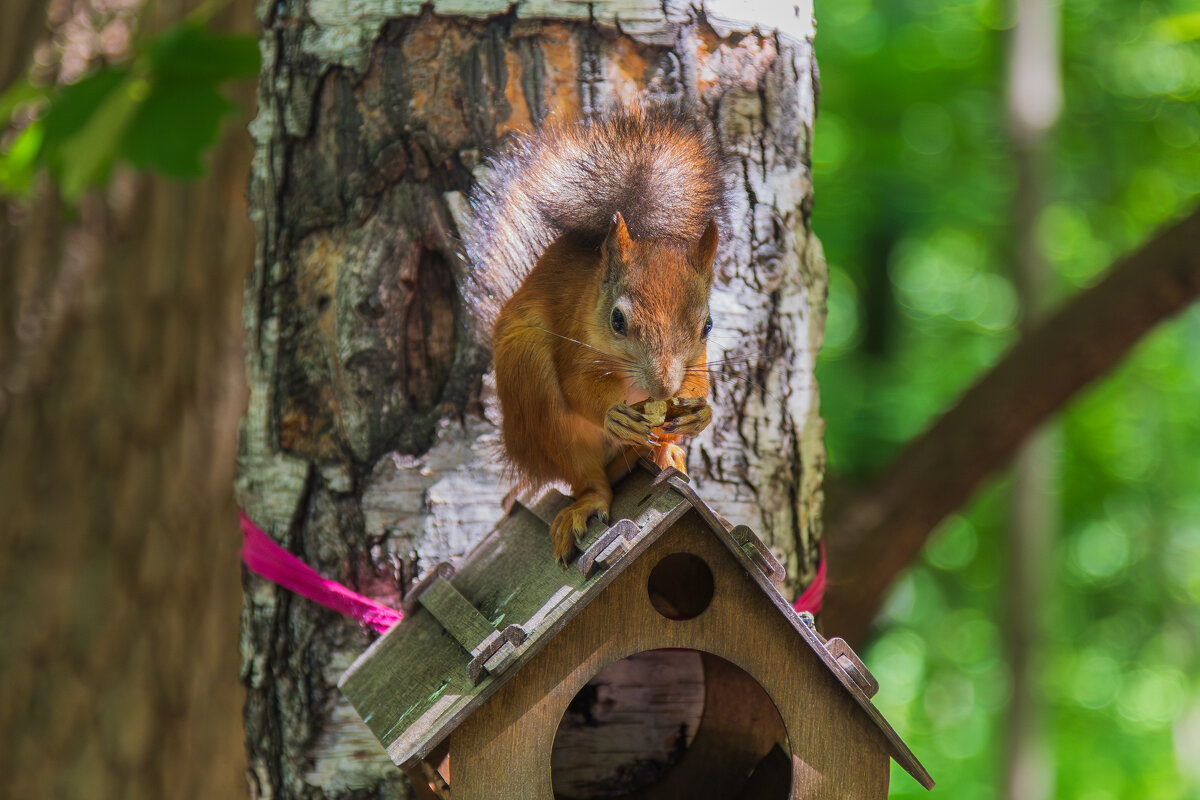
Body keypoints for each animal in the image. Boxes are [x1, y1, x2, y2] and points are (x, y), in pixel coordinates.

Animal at [460, 104, 729, 563]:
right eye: (617, 321)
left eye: (707, 324)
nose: (663, 386)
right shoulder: (574, 343)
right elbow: (576, 386)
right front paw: (611, 414)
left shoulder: (696, 361)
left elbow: (698, 382)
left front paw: (700, 413)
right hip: (536, 396)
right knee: (586, 479)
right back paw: (587, 502)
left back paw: (665, 452)